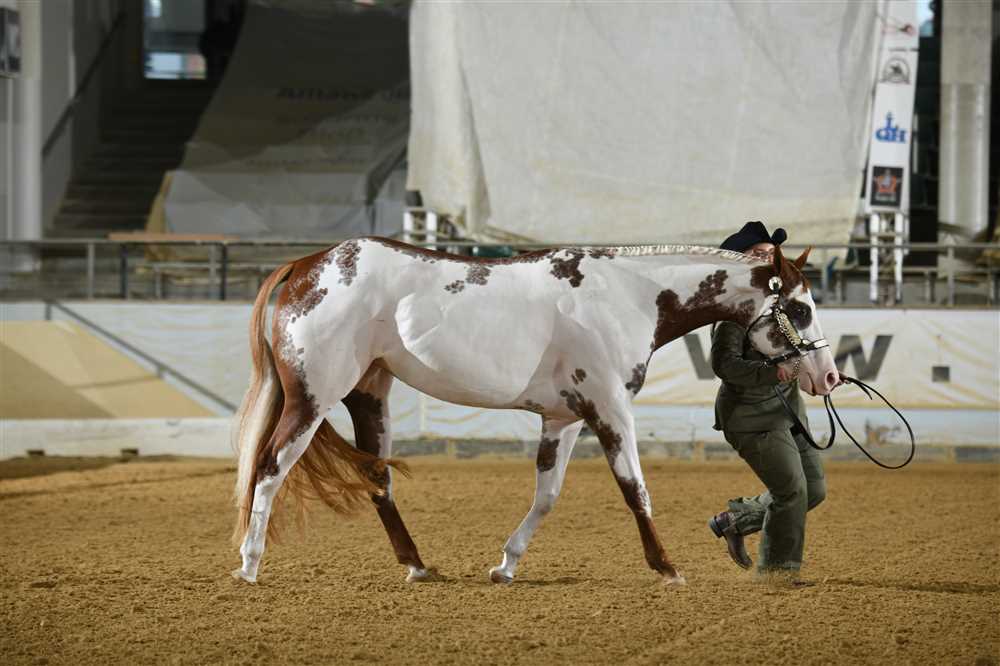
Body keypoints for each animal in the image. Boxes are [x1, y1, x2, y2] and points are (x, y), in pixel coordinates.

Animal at [230, 237, 839, 586]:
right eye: (800, 310)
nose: (828, 376)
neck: (627, 295)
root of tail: (308, 264)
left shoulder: (564, 419)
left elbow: (547, 495)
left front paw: (505, 565)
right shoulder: (610, 409)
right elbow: (636, 489)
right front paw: (667, 568)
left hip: (368, 394)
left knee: (378, 481)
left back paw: (418, 566)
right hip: (314, 397)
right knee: (270, 468)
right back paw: (250, 564)